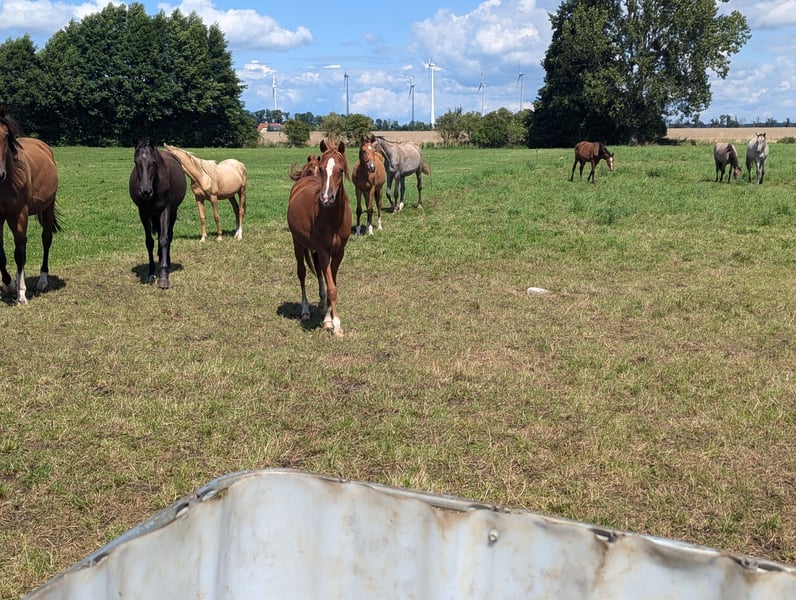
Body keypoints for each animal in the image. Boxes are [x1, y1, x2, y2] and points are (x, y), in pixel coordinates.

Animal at [0, 108, 61, 304]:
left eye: (5, 136)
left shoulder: (19, 214)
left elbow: (19, 253)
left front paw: (20, 294)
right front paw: (10, 284)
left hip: (47, 208)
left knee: (45, 240)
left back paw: (42, 281)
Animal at [129, 137, 186, 289]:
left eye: (153, 162)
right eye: (136, 162)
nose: (145, 191)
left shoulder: (165, 210)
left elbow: (164, 239)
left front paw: (163, 277)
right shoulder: (143, 212)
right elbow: (149, 242)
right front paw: (151, 273)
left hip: (172, 212)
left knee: (168, 235)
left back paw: (166, 260)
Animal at [287, 140, 352, 336]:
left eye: (341, 170)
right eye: (322, 169)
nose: (327, 198)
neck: (333, 218)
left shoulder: (339, 252)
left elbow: (332, 283)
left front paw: (328, 319)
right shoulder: (324, 250)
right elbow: (332, 287)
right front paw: (336, 325)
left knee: (318, 269)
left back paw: (322, 305)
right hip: (298, 243)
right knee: (302, 272)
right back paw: (306, 310)